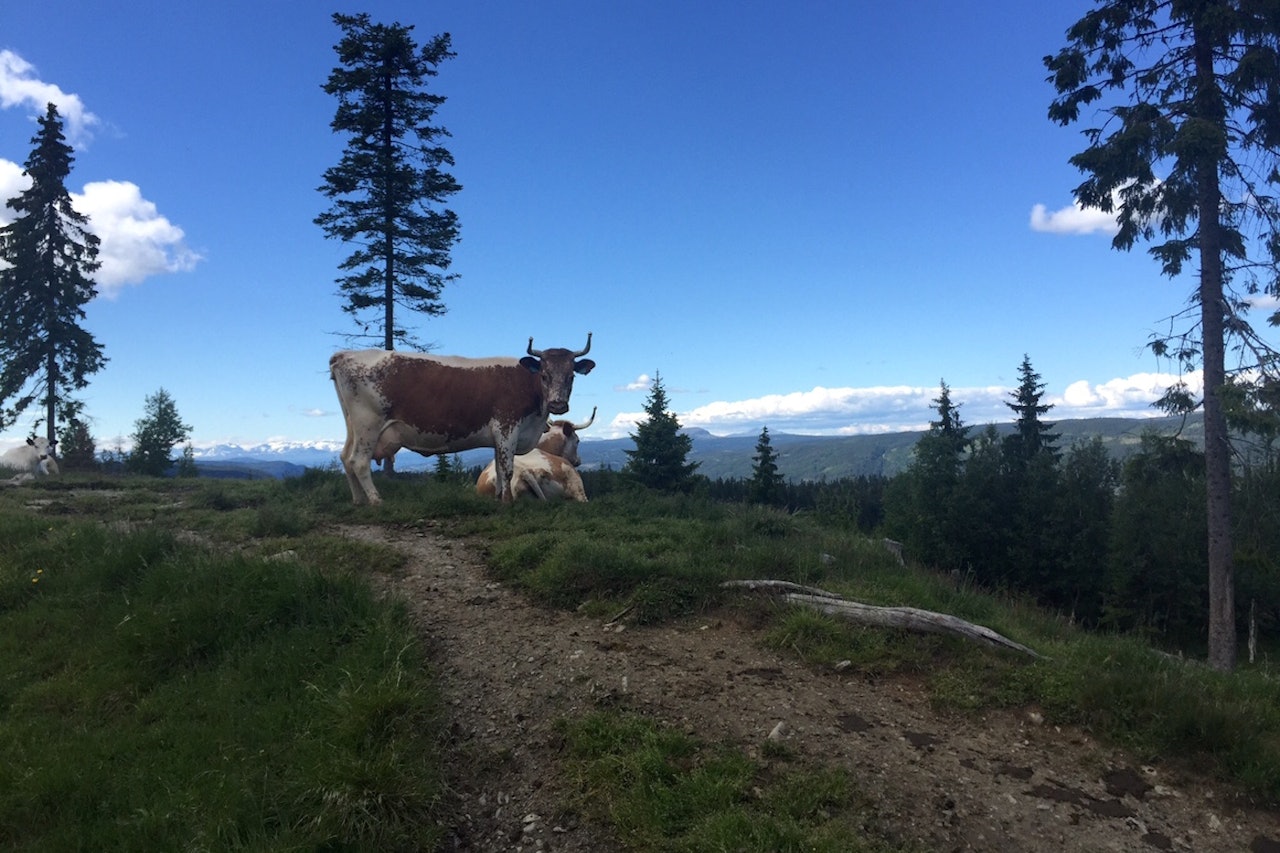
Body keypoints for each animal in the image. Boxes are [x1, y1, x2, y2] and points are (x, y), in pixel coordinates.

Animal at [327, 333, 591, 504]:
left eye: (571, 376)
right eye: (545, 375)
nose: (558, 403)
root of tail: (344, 355)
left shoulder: (499, 436)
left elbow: (498, 466)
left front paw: (497, 499)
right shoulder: (507, 428)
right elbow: (506, 469)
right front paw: (508, 503)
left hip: (353, 426)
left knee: (345, 457)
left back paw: (358, 500)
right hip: (368, 423)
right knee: (359, 461)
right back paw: (375, 500)